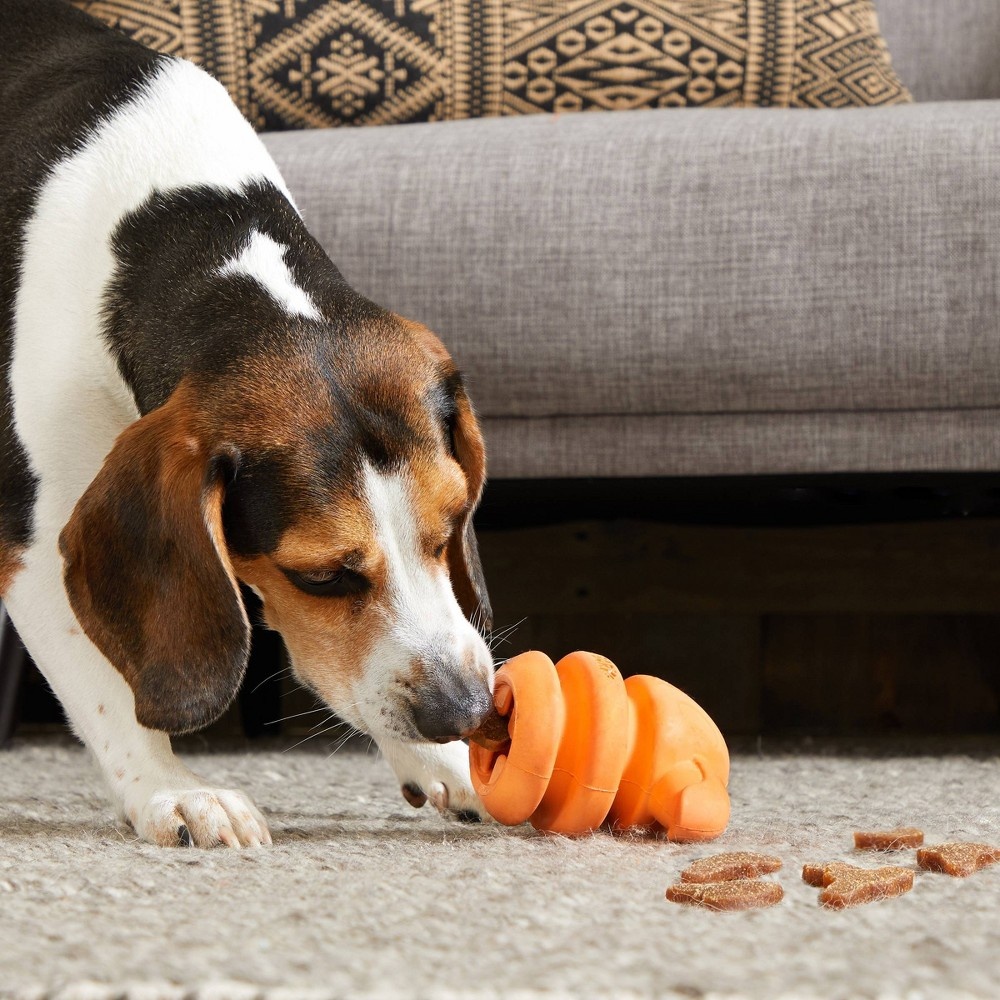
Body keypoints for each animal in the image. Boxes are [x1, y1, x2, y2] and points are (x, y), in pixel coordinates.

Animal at [0, 0, 496, 848]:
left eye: (451, 529)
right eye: (321, 577)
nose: (462, 712)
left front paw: (450, 762)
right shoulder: (37, 543)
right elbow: (106, 689)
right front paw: (171, 789)